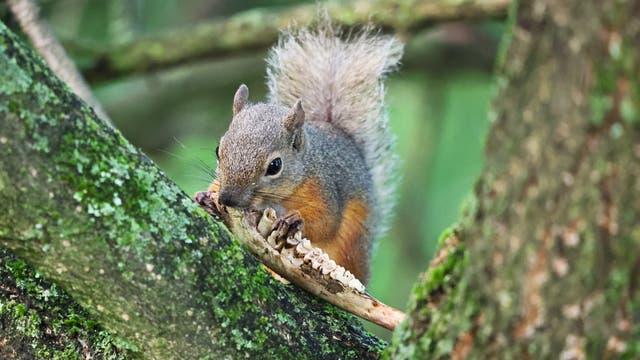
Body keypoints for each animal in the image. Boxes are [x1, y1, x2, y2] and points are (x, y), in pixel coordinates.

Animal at [208, 21, 402, 284]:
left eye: (275, 166)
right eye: (219, 150)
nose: (227, 199)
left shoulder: (323, 187)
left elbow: (325, 222)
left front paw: (294, 220)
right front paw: (204, 196)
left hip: (353, 243)